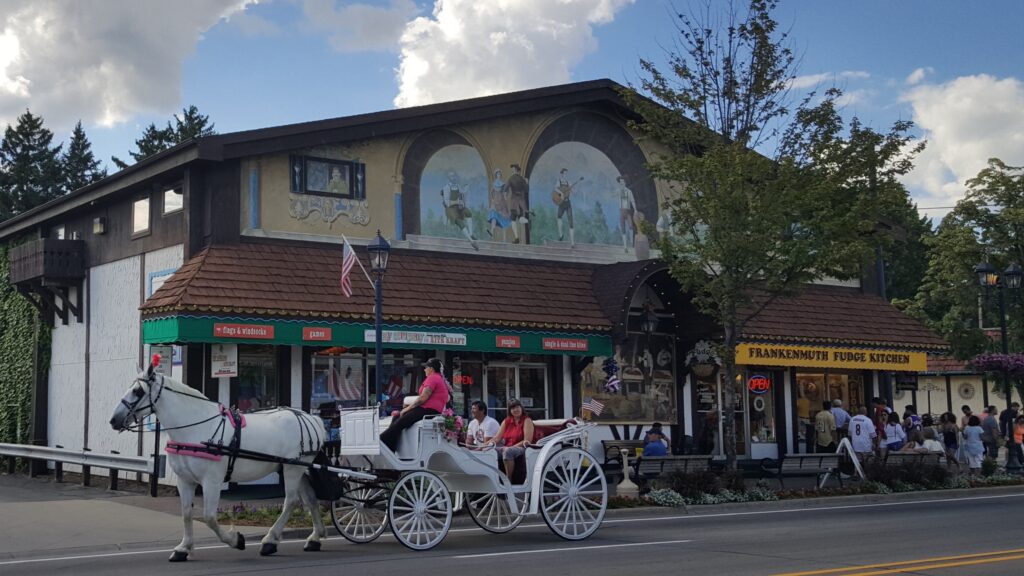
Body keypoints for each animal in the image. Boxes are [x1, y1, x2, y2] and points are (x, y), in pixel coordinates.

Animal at [108, 356, 325, 557]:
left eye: (138, 391)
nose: (113, 420)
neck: (197, 428)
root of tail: (310, 417)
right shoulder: (184, 480)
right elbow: (186, 513)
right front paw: (183, 548)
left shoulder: (212, 481)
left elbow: (209, 517)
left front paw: (236, 540)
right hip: (296, 468)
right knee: (310, 498)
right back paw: (315, 537)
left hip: (293, 469)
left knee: (291, 501)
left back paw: (270, 540)